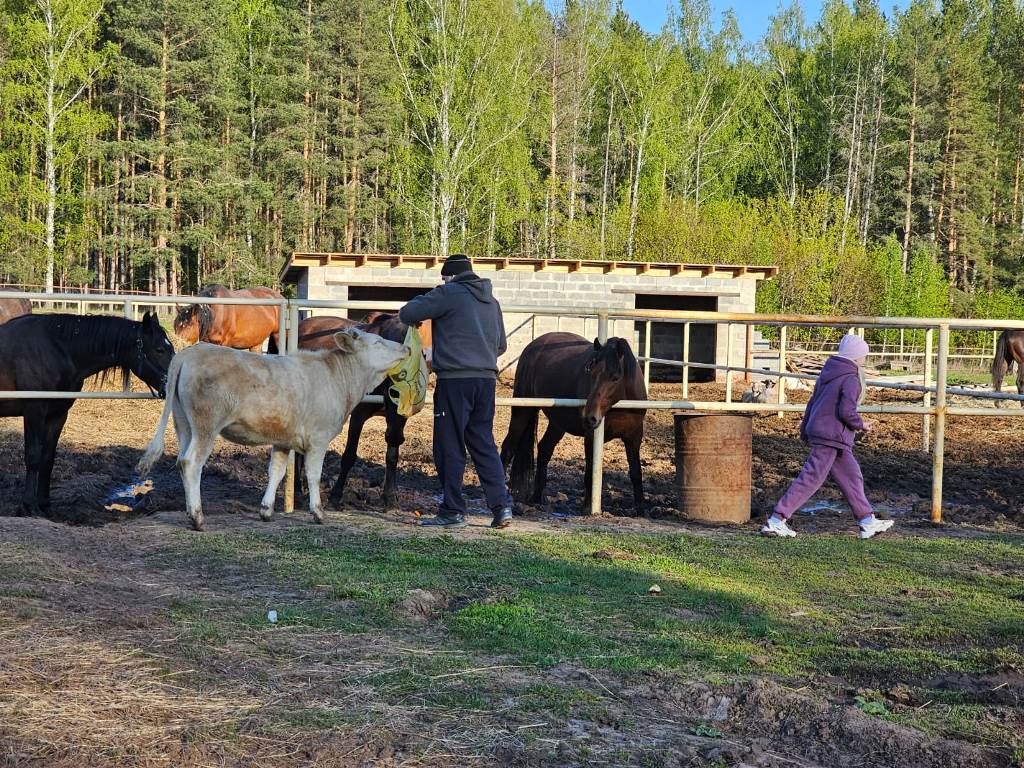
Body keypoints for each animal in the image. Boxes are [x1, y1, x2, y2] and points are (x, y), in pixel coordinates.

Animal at [0, 313, 174, 518]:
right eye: (159, 349)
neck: (54, 349)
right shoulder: (34, 410)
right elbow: (33, 457)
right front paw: (27, 506)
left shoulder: (57, 415)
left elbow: (47, 459)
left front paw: (44, 505)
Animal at [137, 327, 407, 532]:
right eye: (378, 341)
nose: (406, 348)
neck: (337, 379)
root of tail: (189, 354)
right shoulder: (319, 438)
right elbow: (314, 475)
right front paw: (318, 512)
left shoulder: (283, 440)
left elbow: (276, 472)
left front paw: (266, 510)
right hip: (206, 425)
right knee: (191, 463)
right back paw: (197, 517)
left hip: (184, 424)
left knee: (181, 461)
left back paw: (188, 512)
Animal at [274, 313, 430, 512]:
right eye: (384, 339)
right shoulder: (358, 414)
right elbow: (349, 455)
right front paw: (335, 495)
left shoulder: (397, 417)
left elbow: (392, 455)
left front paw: (389, 497)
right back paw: (298, 493)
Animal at [497, 331, 647, 518]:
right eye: (590, 372)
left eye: (615, 377)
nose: (589, 417)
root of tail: (534, 345)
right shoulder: (591, 437)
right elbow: (590, 472)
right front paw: (587, 508)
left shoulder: (634, 437)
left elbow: (636, 473)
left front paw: (641, 510)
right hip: (523, 412)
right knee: (508, 449)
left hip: (558, 423)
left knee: (544, 449)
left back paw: (537, 498)